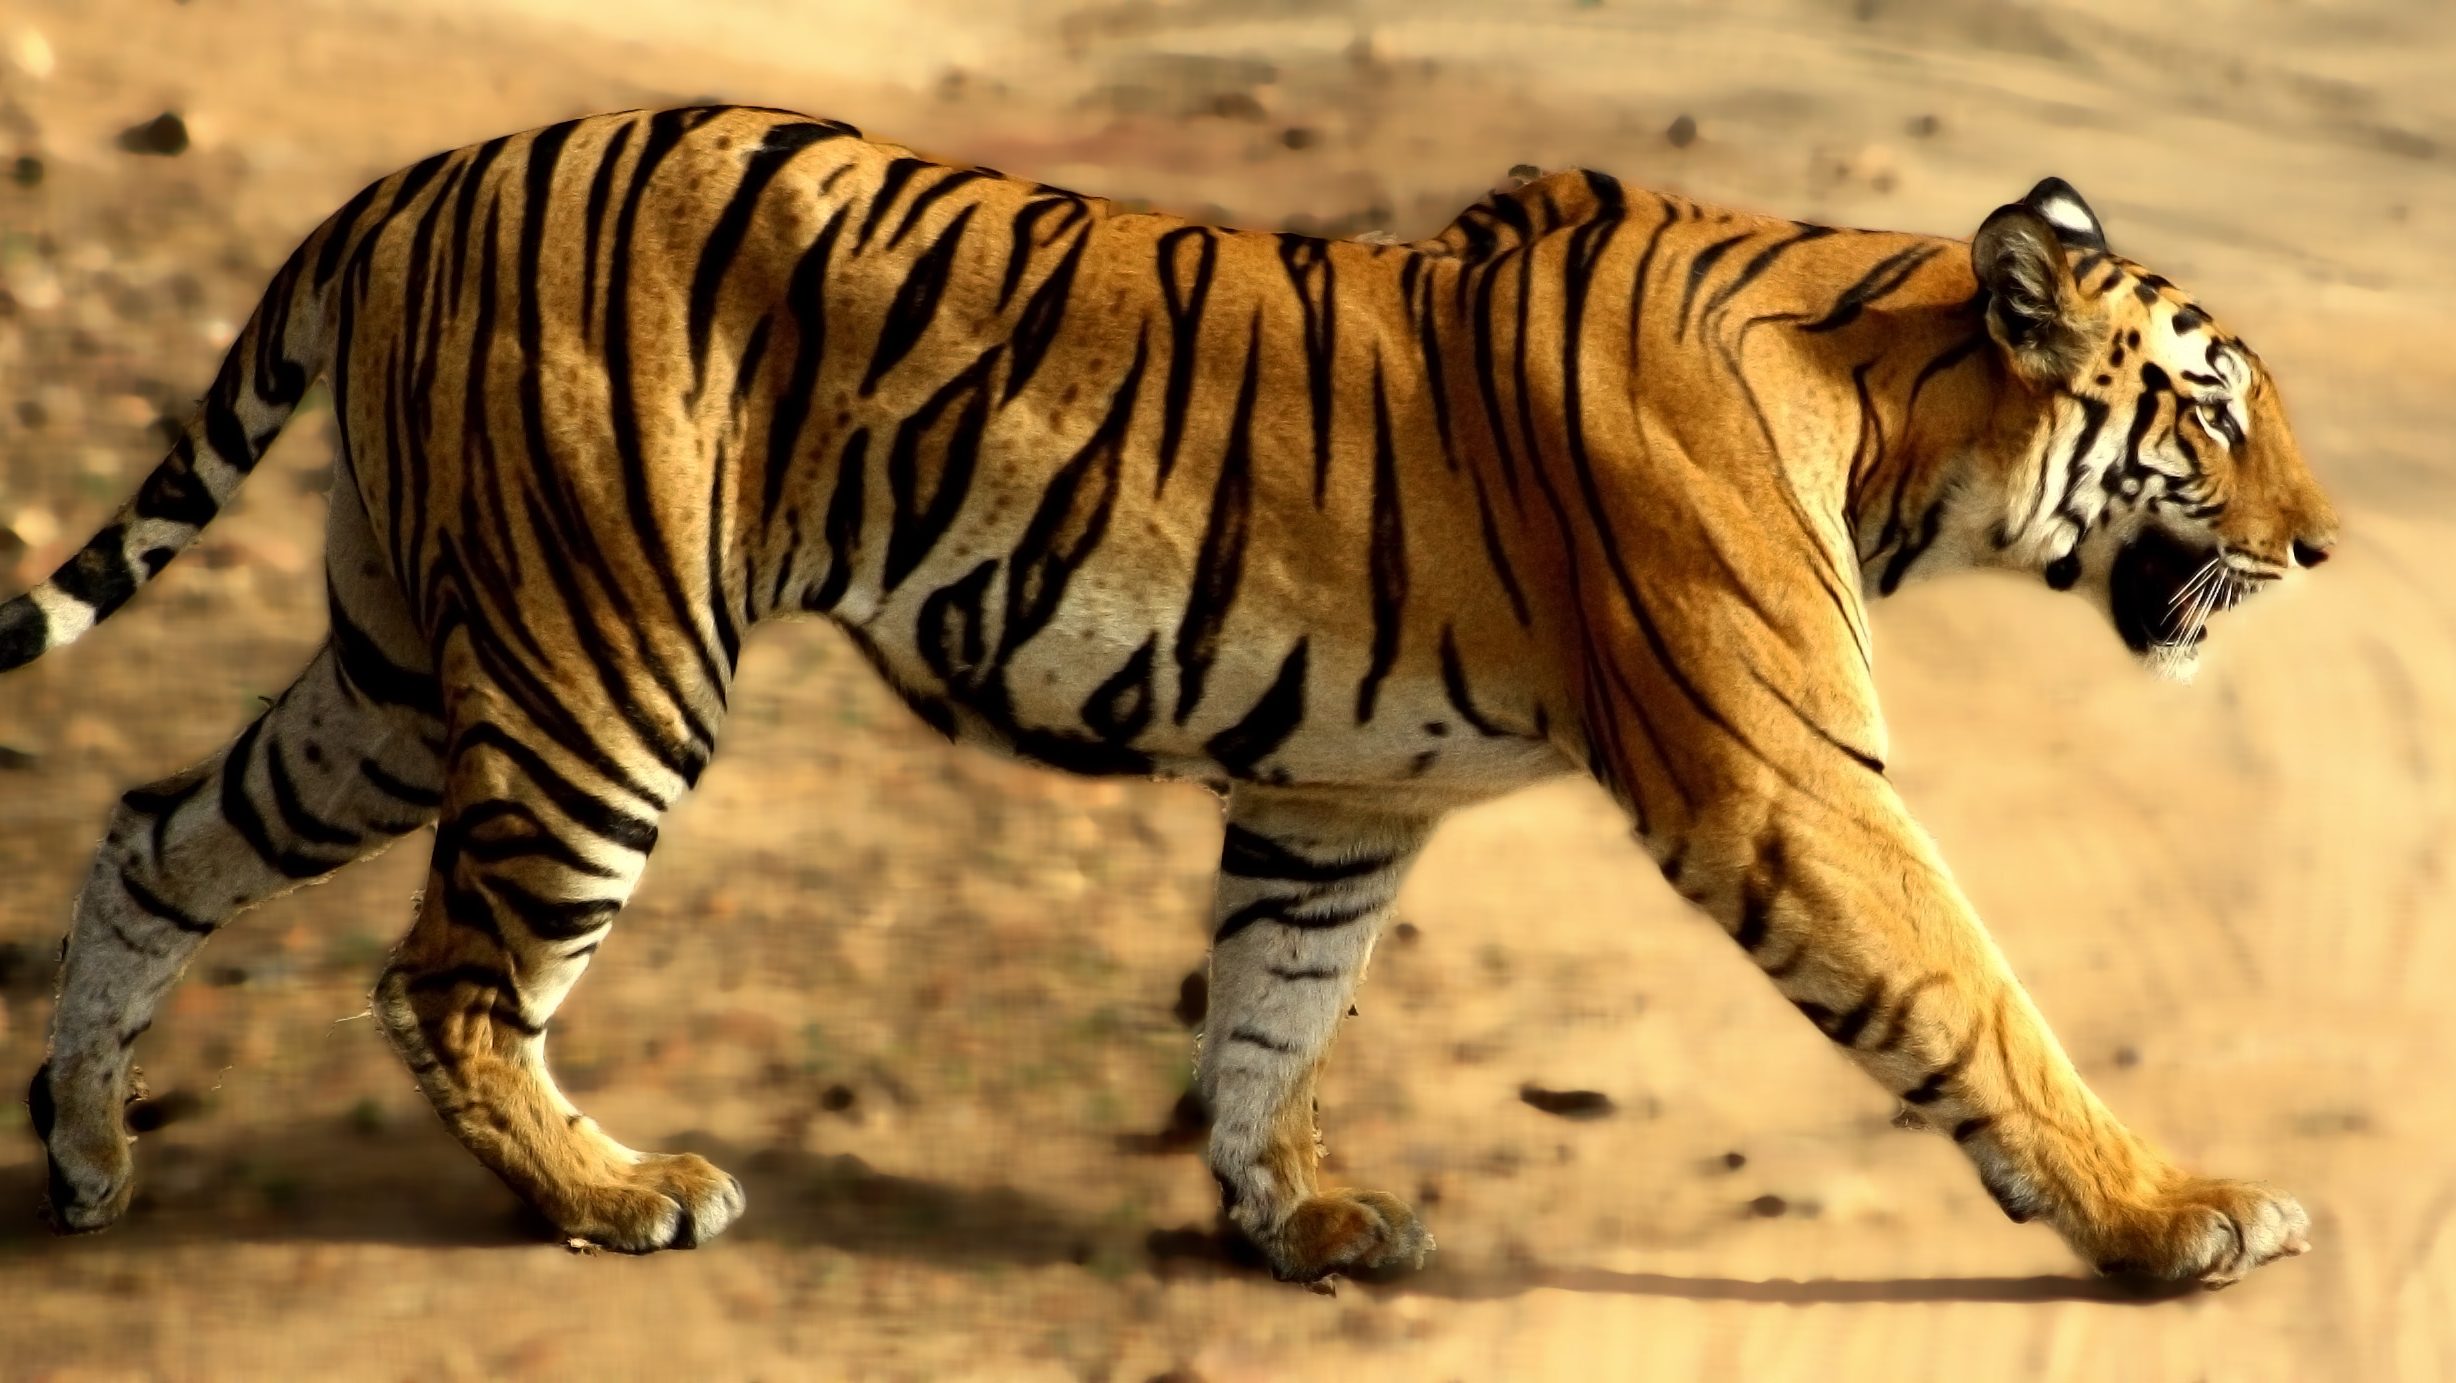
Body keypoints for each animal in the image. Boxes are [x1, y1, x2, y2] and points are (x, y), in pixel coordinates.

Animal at [12, 106, 2336, 1288]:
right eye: (2216, 411)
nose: (2322, 549)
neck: (1898, 413)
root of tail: (419, 173)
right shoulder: (1786, 776)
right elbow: (1976, 1000)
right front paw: (2174, 1215)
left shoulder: (1338, 795)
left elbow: (1273, 1000)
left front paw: (1299, 1213)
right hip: (605, 654)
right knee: (446, 976)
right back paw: (610, 1194)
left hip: (410, 659)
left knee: (152, 833)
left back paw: (91, 1155)